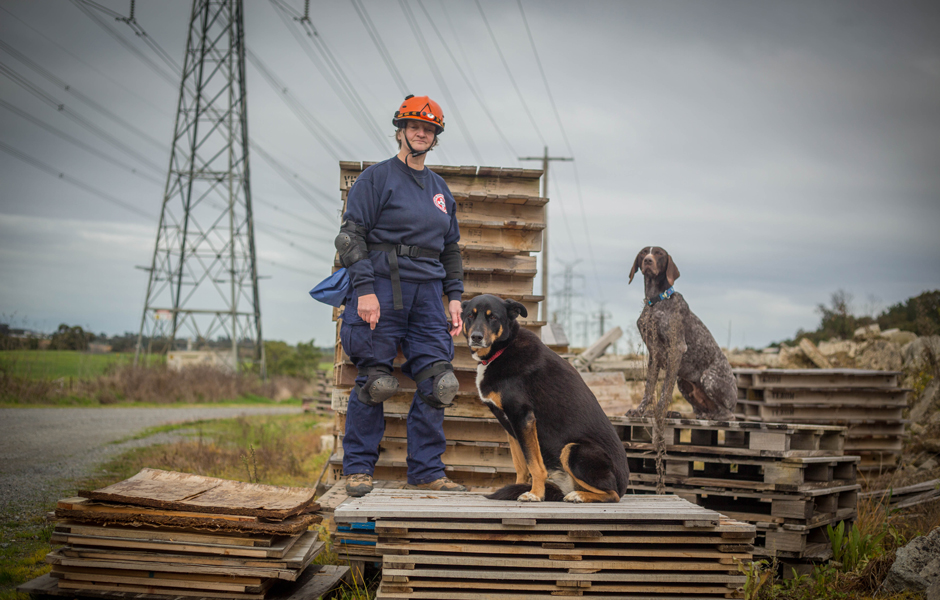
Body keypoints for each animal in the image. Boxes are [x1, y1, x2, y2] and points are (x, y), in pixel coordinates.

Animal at [458, 294, 628, 502]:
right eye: (470, 316)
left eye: (493, 318)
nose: (476, 337)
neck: (503, 349)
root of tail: (624, 485)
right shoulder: (512, 426)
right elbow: (521, 465)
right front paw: (521, 487)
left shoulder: (523, 418)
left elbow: (534, 464)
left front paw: (535, 494)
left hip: (574, 449)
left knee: (613, 494)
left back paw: (578, 495)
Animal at [628, 246, 740, 420]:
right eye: (643, 252)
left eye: (659, 254)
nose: (648, 260)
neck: (656, 302)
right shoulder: (654, 354)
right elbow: (649, 388)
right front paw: (639, 411)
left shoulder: (676, 349)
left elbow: (665, 390)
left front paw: (658, 412)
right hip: (683, 382)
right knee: (700, 412)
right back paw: (677, 414)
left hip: (708, 378)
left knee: (725, 414)